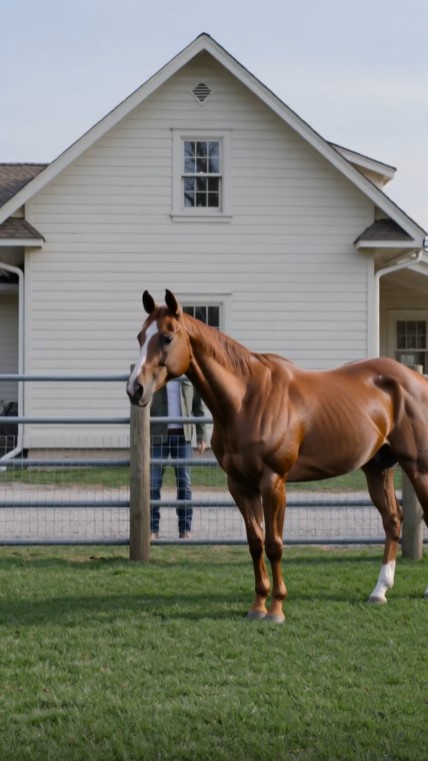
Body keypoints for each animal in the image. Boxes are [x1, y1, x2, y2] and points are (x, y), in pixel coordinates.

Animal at [126, 289, 428, 623]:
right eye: (141, 336)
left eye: (167, 337)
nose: (135, 389)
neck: (247, 399)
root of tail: (417, 381)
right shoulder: (240, 485)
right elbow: (255, 542)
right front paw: (258, 604)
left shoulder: (273, 482)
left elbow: (274, 544)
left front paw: (277, 607)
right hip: (378, 469)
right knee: (392, 521)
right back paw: (379, 591)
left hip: (419, 468)